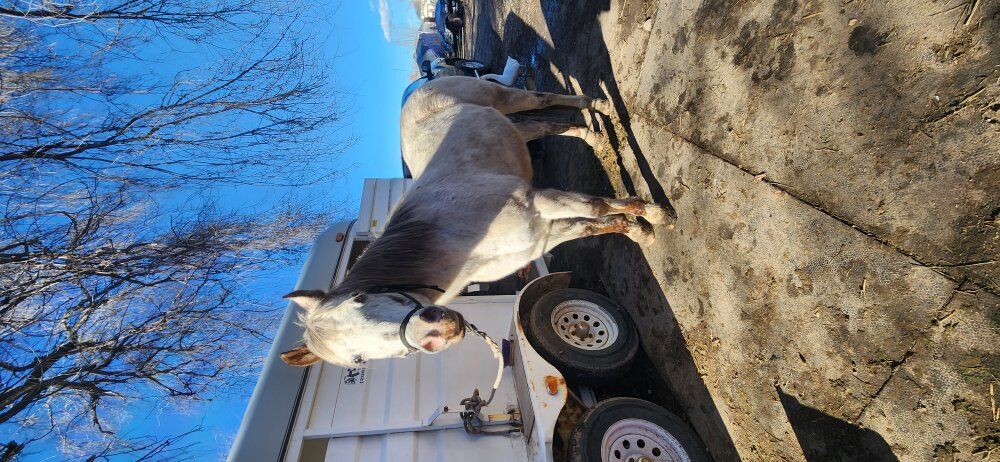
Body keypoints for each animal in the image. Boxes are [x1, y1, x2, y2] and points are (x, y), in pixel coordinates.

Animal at [280, 76, 674, 367]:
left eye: (361, 299)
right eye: (358, 360)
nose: (437, 332)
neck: (462, 243)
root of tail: (417, 89)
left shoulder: (538, 202)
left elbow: (595, 207)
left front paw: (655, 219)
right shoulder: (541, 234)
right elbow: (595, 224)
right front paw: (641, 229)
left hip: (505, 97)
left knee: (543, 99)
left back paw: (599, 107)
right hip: (509, 125)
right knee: (547, 124)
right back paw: (593, 136)